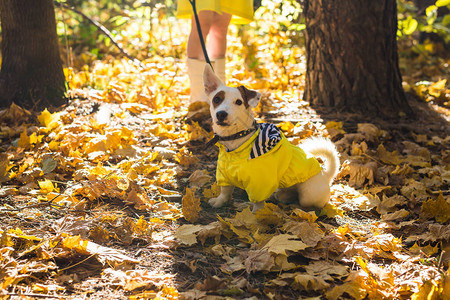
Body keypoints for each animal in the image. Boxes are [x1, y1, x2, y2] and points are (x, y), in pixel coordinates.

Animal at [202, 64, 340, 212]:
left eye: (238, 102)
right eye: (217, 99)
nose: (221, 114)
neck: (235, 142)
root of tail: (326, 175)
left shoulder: (260, 183)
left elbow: (258, 203)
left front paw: (256, 214)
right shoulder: (224, 174)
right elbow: (225, 191)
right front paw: (219, 201)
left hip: (308, 195)